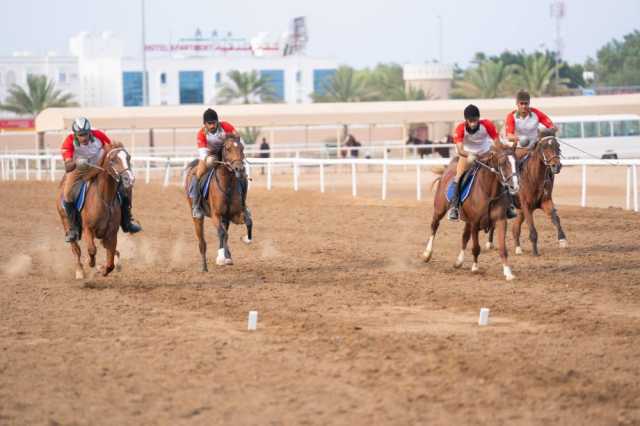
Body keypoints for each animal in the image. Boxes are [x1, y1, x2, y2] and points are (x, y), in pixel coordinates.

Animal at [184, 135, 251, 272]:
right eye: (228, 148)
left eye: (242, 148)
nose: (240, 169)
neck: (228, 187)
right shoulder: (216, 215)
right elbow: (221, 232)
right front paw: (220, 258)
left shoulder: (234, 215)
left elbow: (248, 221)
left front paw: (246, 239)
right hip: (197, 217)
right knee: (202, 242)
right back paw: (204, 267)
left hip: (226, 218)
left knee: (226, 234)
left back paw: (228, 257)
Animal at [422, 145, 524, 282]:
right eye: (503, 163)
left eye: (517, 163)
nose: (514, 186)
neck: (488, 192)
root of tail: (447, 170)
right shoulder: (475, 223)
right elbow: (476, 247)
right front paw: (475, 267)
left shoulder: (501, 220)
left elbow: (503, 248)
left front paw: (508, 272)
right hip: (439, 210)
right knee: (434, 227)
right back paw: (427, 254)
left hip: (467, 221)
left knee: (464, 237)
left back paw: (459, 261)